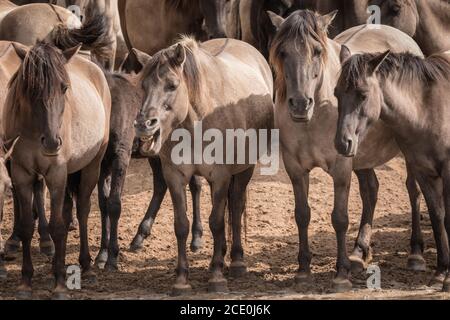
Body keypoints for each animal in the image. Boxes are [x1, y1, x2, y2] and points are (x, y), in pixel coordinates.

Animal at [3, 40, 110, 300]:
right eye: (31, 88)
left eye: (64, 88)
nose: (52, 142)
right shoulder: (21, 174)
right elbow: (26, 226)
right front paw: (25, 282)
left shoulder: (56, 174)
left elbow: (58, 226)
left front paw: (60, 283)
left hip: (92, 166)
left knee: (82, 210)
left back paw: (87, 267)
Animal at [94, 51, 205, 272]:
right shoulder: (103, 164)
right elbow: (103, 203)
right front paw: (102, 254)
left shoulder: (121, 156)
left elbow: (114, 204)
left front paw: (112, 257)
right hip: (154, 154)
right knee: (161, 184)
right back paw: (140, 236)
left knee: (195, 185)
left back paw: (196, 237)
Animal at [134, 37, 274, 296]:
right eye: (143, 86)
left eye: (172, 85)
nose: (144, 124)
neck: (198, 121)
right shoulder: (175, 176)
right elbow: (181, 225)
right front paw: (181, 278)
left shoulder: (220, 177)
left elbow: (217, 222)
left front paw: (216, 275)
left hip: (244, 170)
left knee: (236, 207)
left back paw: (236, 260)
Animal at [268, 10, 428, 292]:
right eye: (283, 52)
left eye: (317, 51)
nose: (300, 104)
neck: (315, 116)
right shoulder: (296, 169)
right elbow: (302, 215)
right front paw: (303, 269)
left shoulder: (341, 169)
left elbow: (339, 218)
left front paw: (340, 273)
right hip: (361, 157)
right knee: (371, 191)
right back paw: (359, 252)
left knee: (413, 190)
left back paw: (416, 253)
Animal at [336, 48, 450, 292]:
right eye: (336, 94)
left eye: (363, 94)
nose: (342, 143)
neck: (428, 110)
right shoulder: (422, 171)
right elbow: (437, 217)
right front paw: (441, 272)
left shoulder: (447, 171)